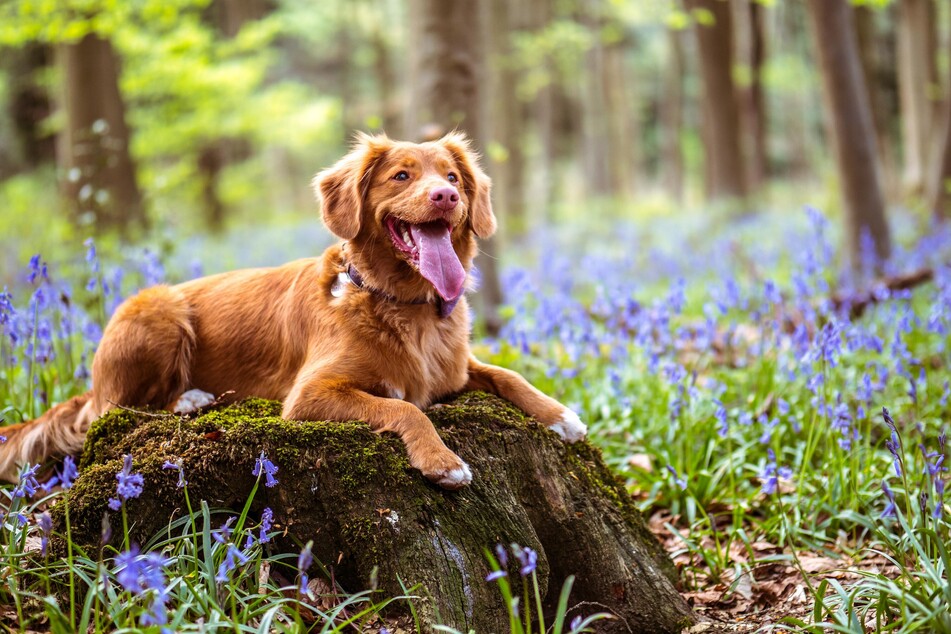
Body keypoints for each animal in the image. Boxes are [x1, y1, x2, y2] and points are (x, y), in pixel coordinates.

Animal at [0, 132, 588, 488]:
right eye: (401, 176)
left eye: (452, 177)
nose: (446, 197)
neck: (404, 306)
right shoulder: (309, 395)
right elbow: (406, 408)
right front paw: (442, 461)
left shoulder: (456, 369)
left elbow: (507, 375)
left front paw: (560, 415)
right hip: (158, 310)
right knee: (117, 410)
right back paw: (190, 399)